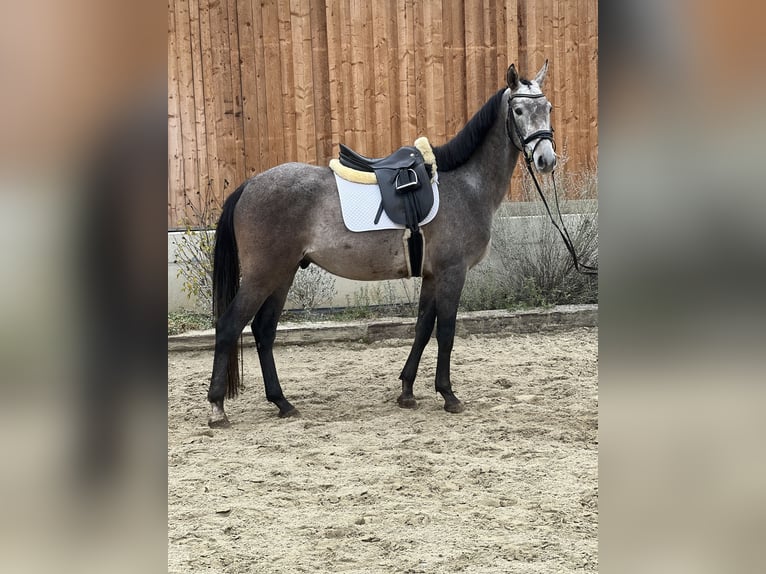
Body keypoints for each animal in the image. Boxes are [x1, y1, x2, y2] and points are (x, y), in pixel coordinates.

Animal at [208, 63, 560, 428]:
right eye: (518, 111)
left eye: (548, 108)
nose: (546, 159)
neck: (464, 183)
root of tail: (249, 185)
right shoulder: (452, 272)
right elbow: (446, 331)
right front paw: (448, 395)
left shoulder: (431, 276)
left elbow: (423, 328)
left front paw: (407, 391)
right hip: (263, 275)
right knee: (229, 326)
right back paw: (218, 407)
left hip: (283, 274)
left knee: (264, 331)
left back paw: (282, 402)